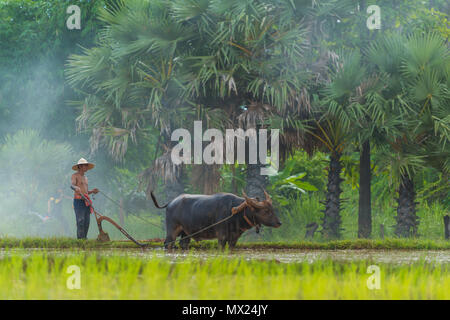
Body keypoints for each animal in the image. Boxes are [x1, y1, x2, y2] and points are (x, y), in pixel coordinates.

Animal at [153, 190, 284, 250]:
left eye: (272, 209)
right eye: (266, 211)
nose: (279, 223)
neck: (235, 212)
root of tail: (171, 202)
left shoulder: (234, 238)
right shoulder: (222, 236)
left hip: (186, 233)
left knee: (183, 244)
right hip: (172, 230)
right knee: (168, 243)